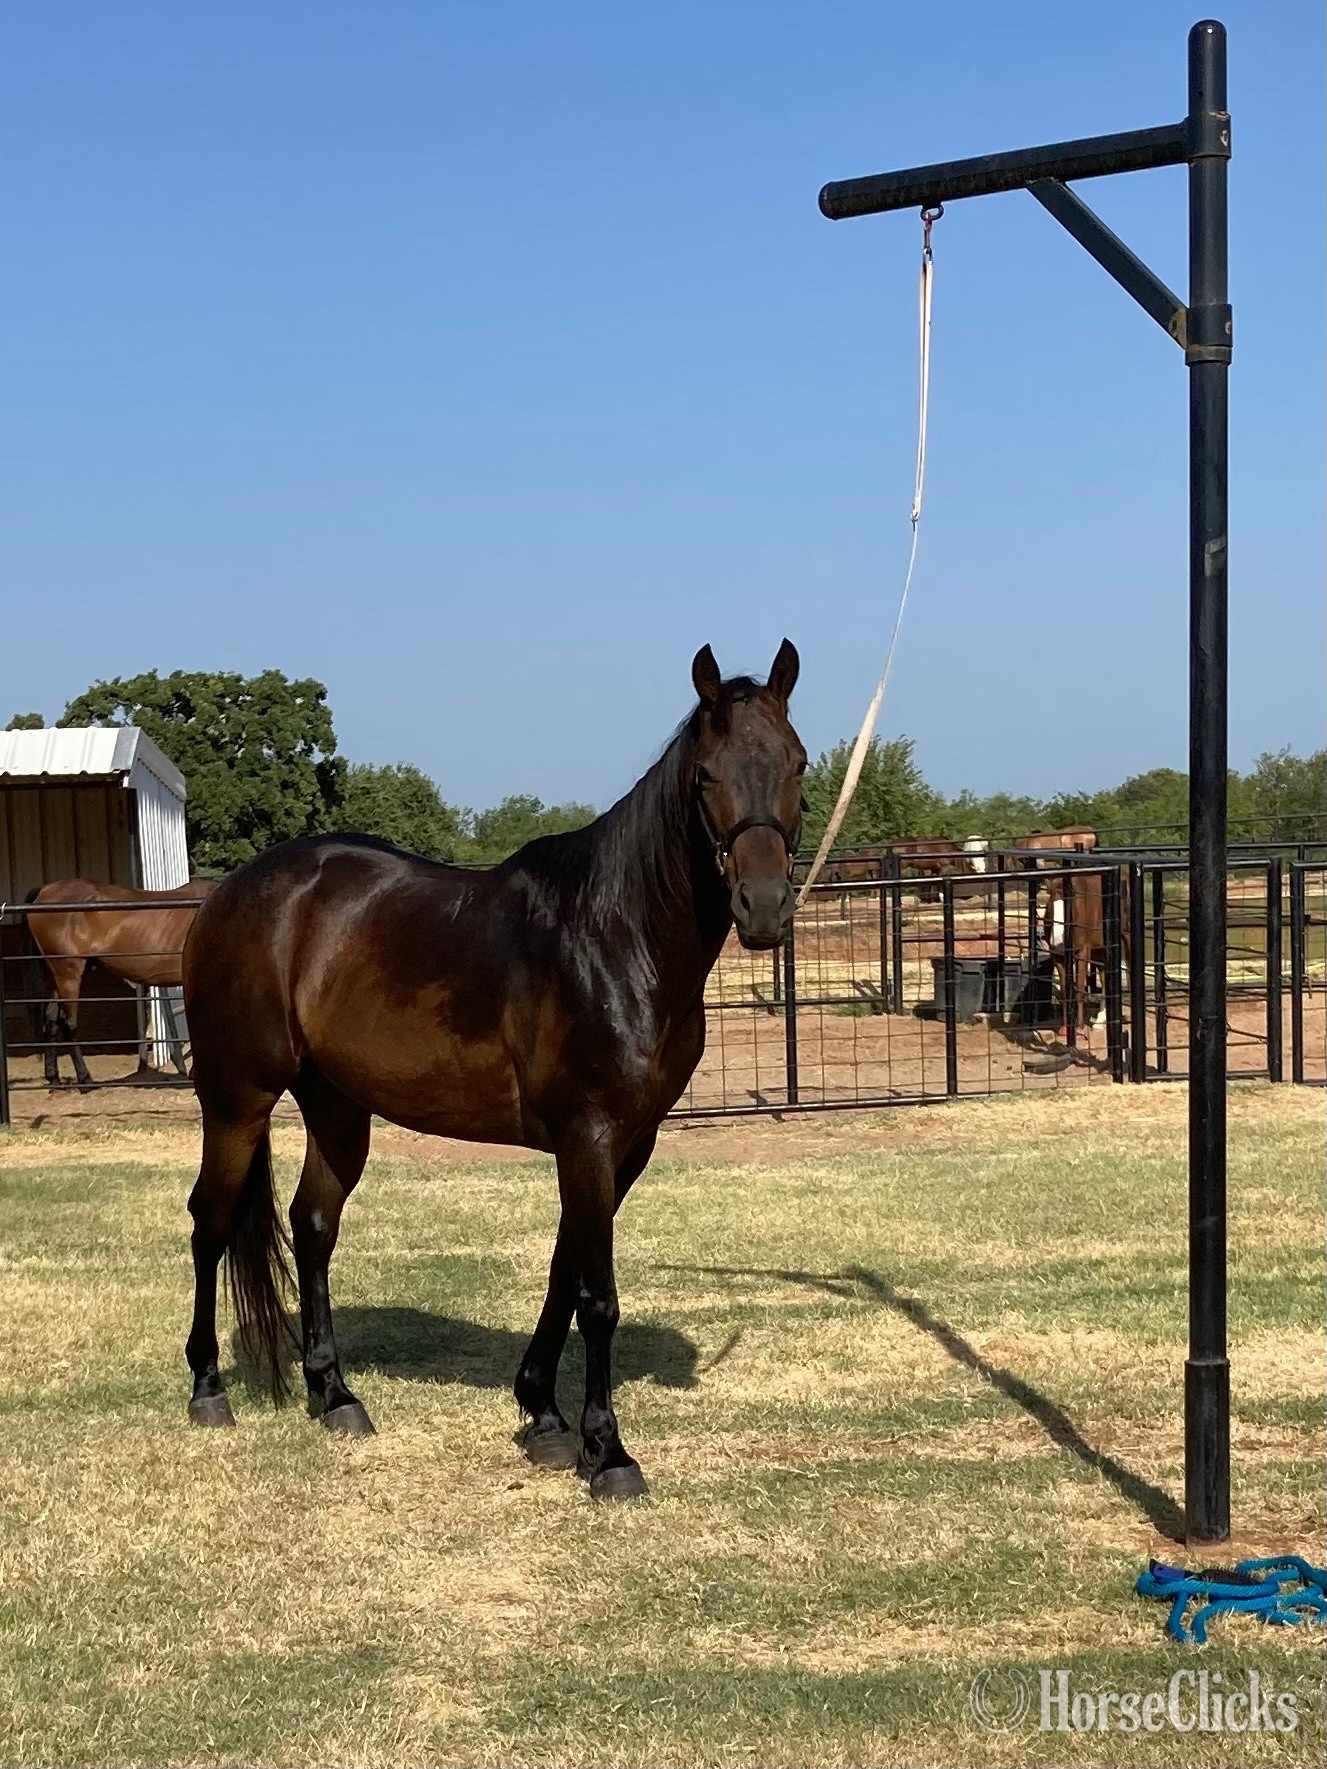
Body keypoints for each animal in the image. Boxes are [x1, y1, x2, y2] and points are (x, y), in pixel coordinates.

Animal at [25, 878, 217, 1089]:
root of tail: (45, 890)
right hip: (69, 974)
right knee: (69, 1024)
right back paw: (85, 1079)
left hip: (57, 977)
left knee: (51, 1021)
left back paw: (54, 1079)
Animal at [180, 640, 805, 1501]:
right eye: (706, 774)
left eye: (798, 764)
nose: (765, 907)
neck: (614, 936)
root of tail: (231, 892)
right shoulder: (588, 1133)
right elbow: (596, 1294)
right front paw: (607, 1450)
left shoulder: (626, 1143)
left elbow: (564, 1268)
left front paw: (542, 1413)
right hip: (236, 1096)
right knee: (210, 1222)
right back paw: (207, 1389)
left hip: (336, 1106)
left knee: (312, 1227)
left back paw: (334, 1394)